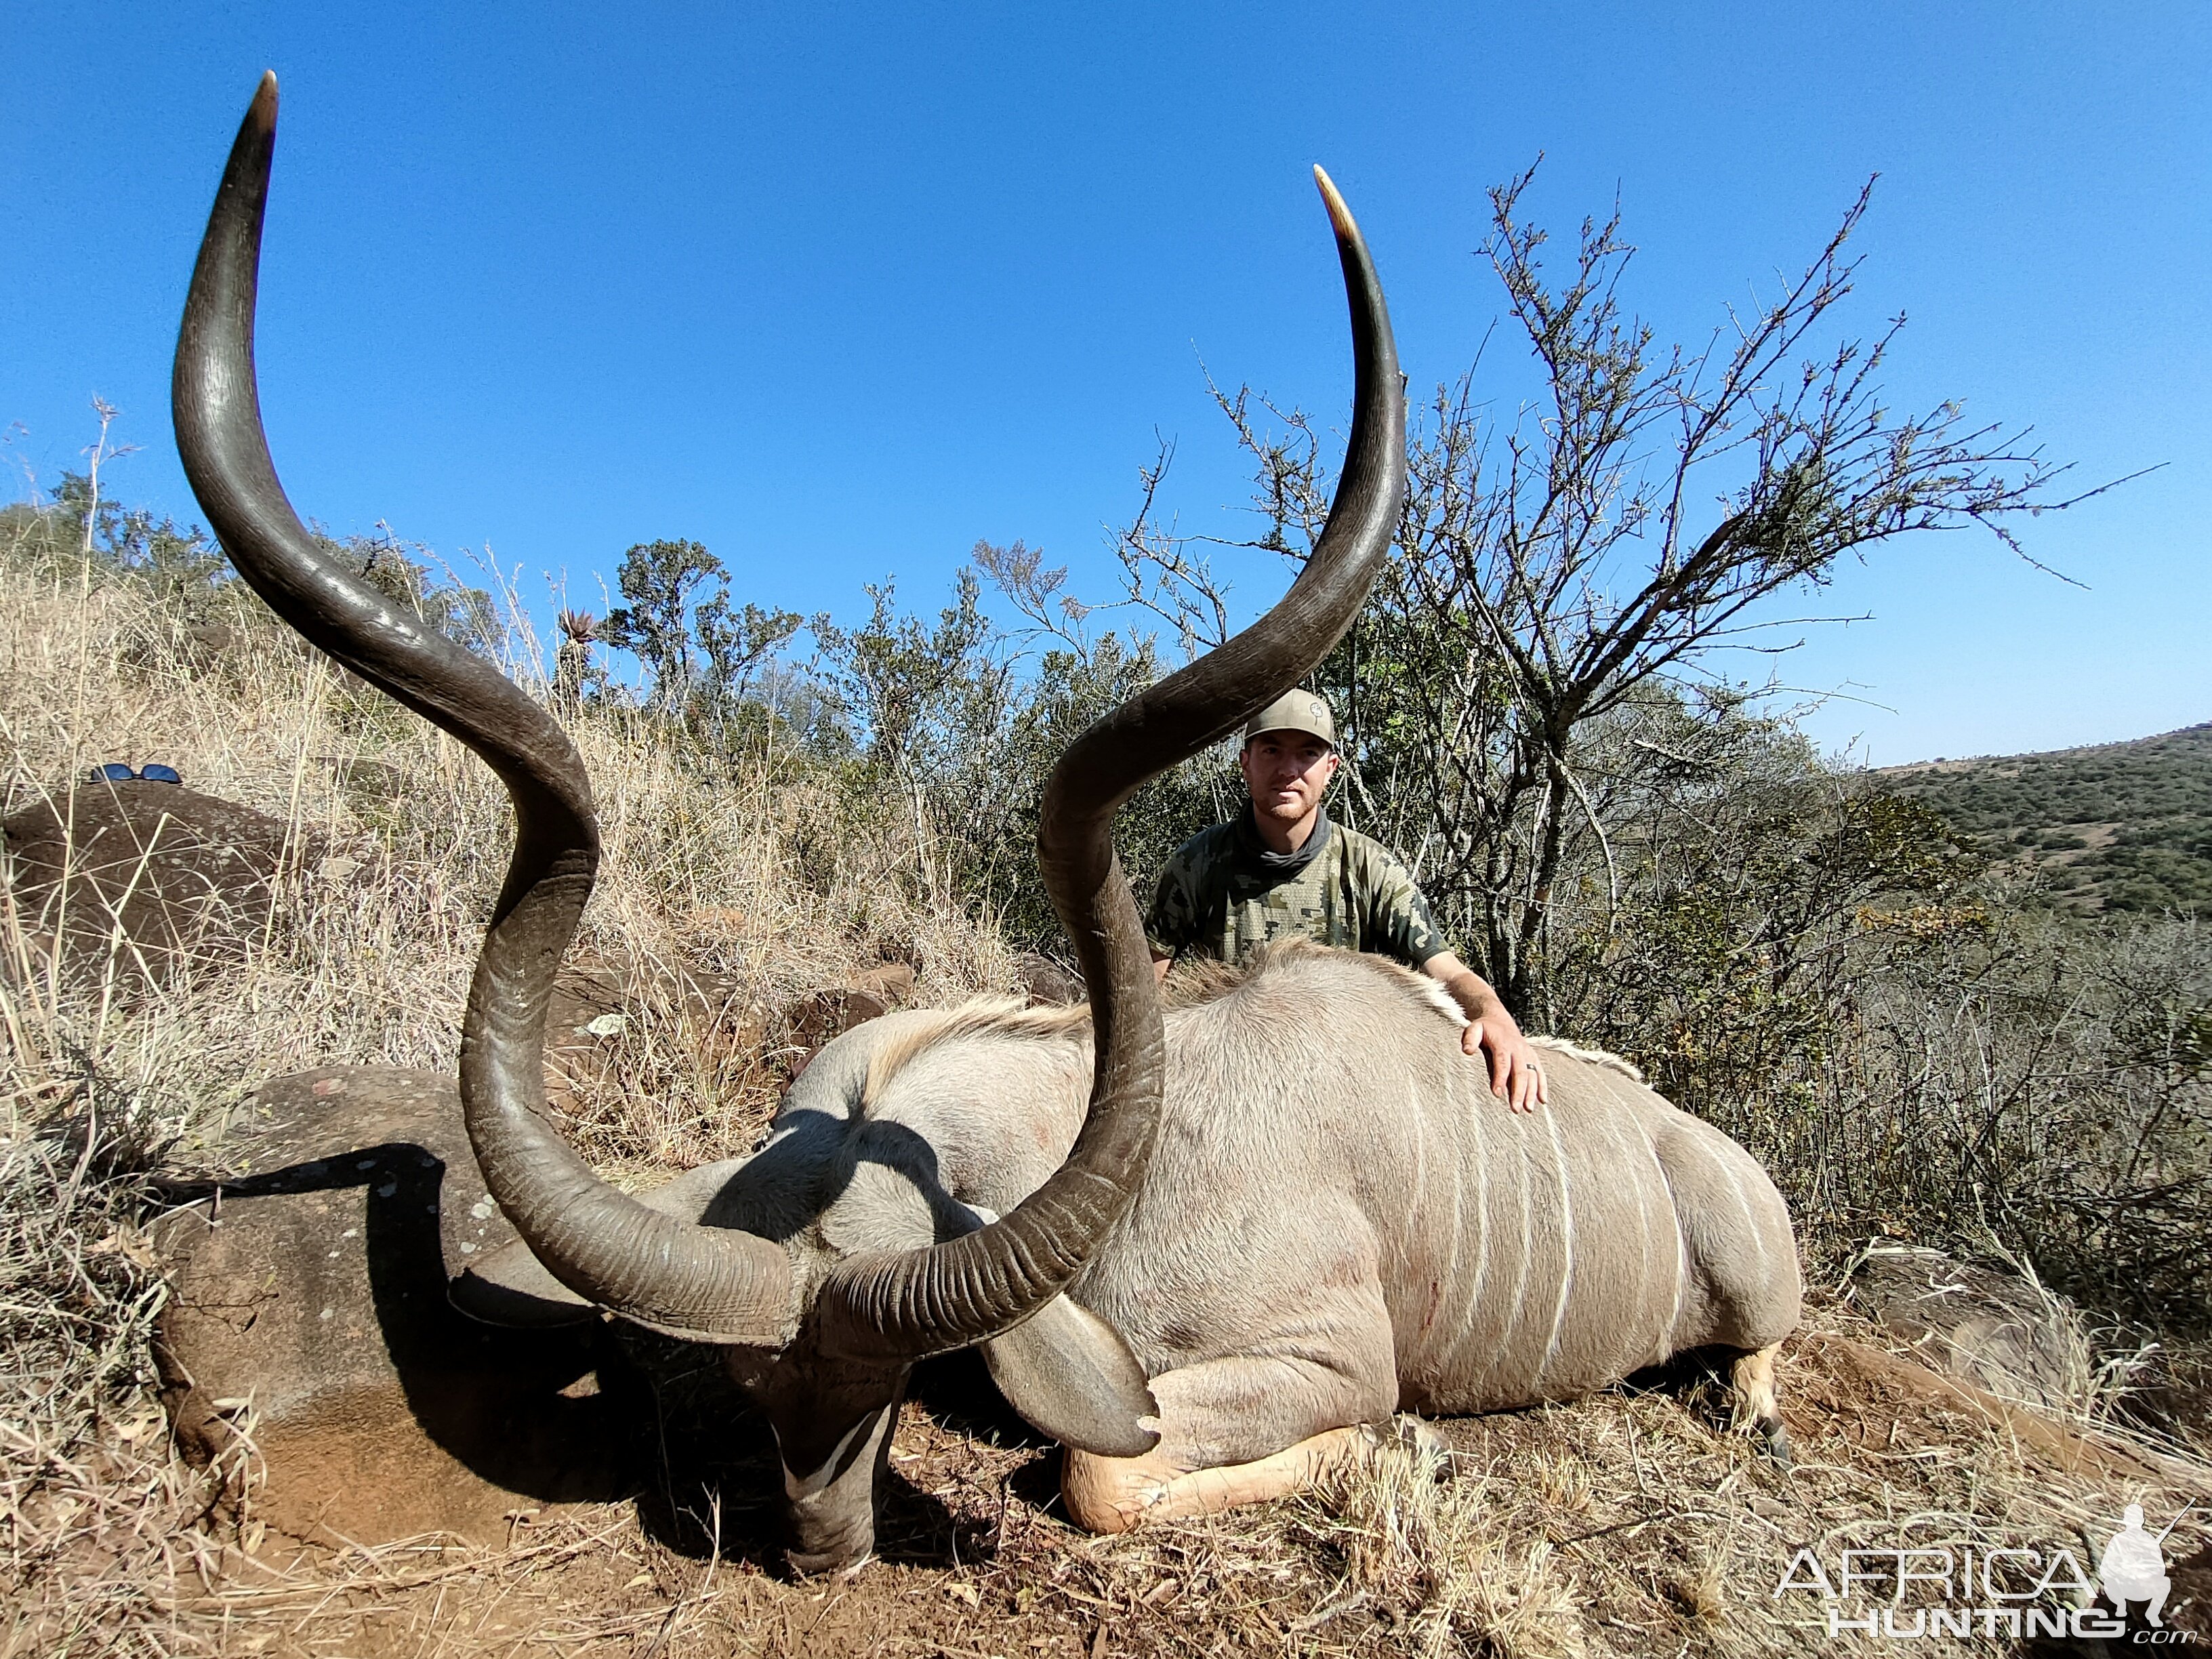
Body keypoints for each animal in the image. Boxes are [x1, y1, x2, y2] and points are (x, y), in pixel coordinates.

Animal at [172, 78, 1796, 1574]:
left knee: (1756, 1347)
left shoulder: (1323, 1356)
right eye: (756, 1383)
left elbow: (1103, 1468)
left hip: (1752, 1288)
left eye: (887, 1386)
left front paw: (1384, 1455)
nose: (821, 1547)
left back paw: (1753, 1401)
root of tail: (1706, 1148)